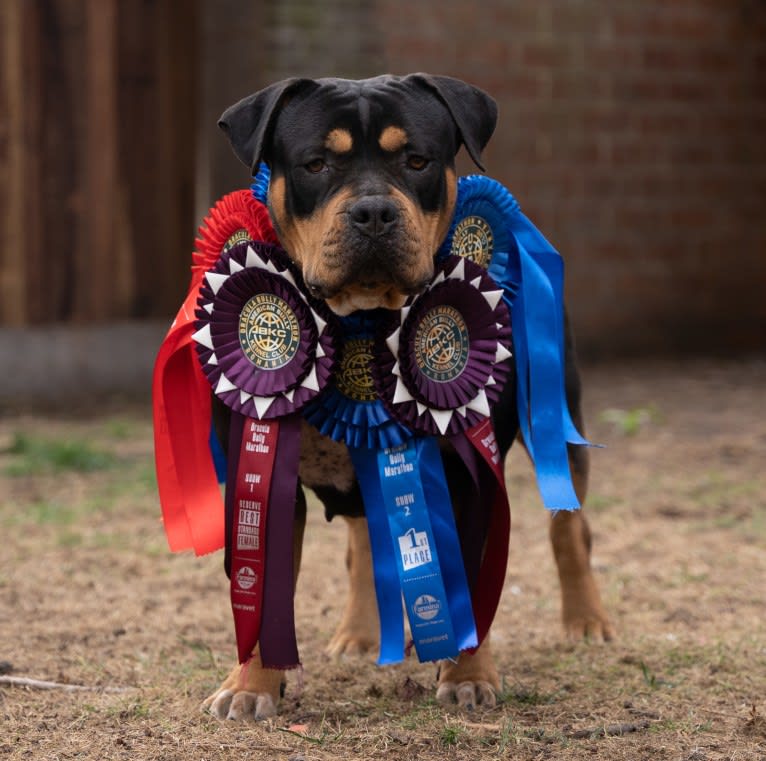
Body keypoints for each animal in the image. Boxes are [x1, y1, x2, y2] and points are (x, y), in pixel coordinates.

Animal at [201, 72, 616, 720]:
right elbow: (258, 585)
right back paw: (359, 633)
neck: (360, 321)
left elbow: (472, 571)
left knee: (569, 526)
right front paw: (250, 687)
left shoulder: (468, 473)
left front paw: (469, 674)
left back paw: (587, 620)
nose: (373, 210)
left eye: (416, 160)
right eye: (316, 163)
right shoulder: (260, 470)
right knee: (362, 545)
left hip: (558, 409)